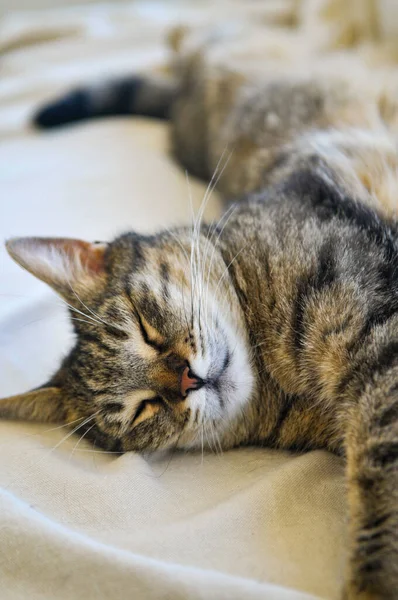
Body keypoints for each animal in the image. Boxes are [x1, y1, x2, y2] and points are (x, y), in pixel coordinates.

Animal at [2, 27, 398, 596]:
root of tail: (184, 97)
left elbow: (379, 477)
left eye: (144, 326)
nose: (188, 379)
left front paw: (374, 583)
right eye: (142, 409)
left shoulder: (377, 326)